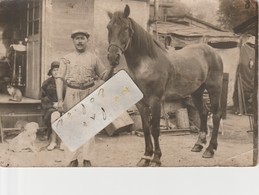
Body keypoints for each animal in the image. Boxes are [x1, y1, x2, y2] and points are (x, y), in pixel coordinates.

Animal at [106, 4, 224, 166]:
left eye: (125, 28)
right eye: (108, 27)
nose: (113, 57)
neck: (147, 63)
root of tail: (214, 52)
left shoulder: (155, 101)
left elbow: (155, 129)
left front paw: (156, 158)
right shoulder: (141, 103)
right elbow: (146, 128)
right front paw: (145, 157)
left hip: (214, 89)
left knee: (216, 115)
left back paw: (210, 150)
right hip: (196, 92)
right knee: (204, 112)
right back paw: (198, 145)